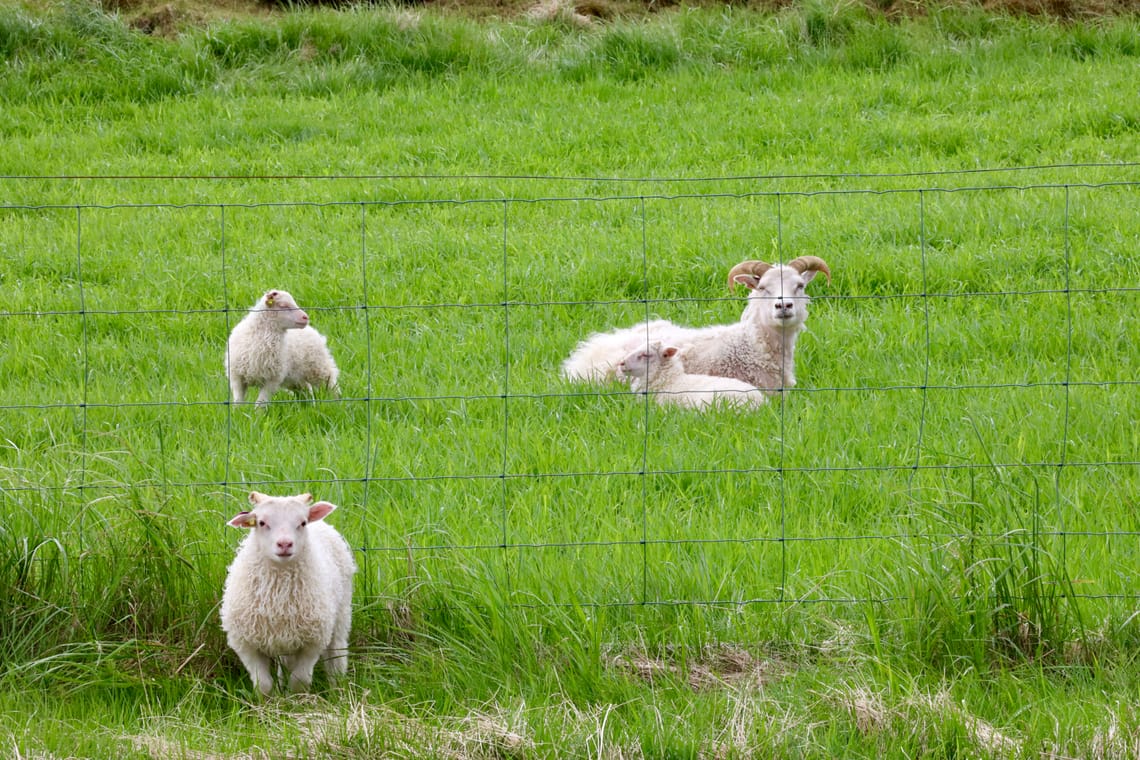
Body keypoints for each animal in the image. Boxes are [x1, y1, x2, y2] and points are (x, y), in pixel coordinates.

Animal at [220, 491, 357, 696]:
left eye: (303, 522)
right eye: (261, 522)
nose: (285, 544)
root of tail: (324, 524)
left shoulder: (312, 641)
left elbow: (299, 680)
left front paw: (296, 700)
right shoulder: (245, 643)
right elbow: (263, 684)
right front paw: (270, 701)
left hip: (341, 612)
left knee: (336, 652)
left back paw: (337, 688)